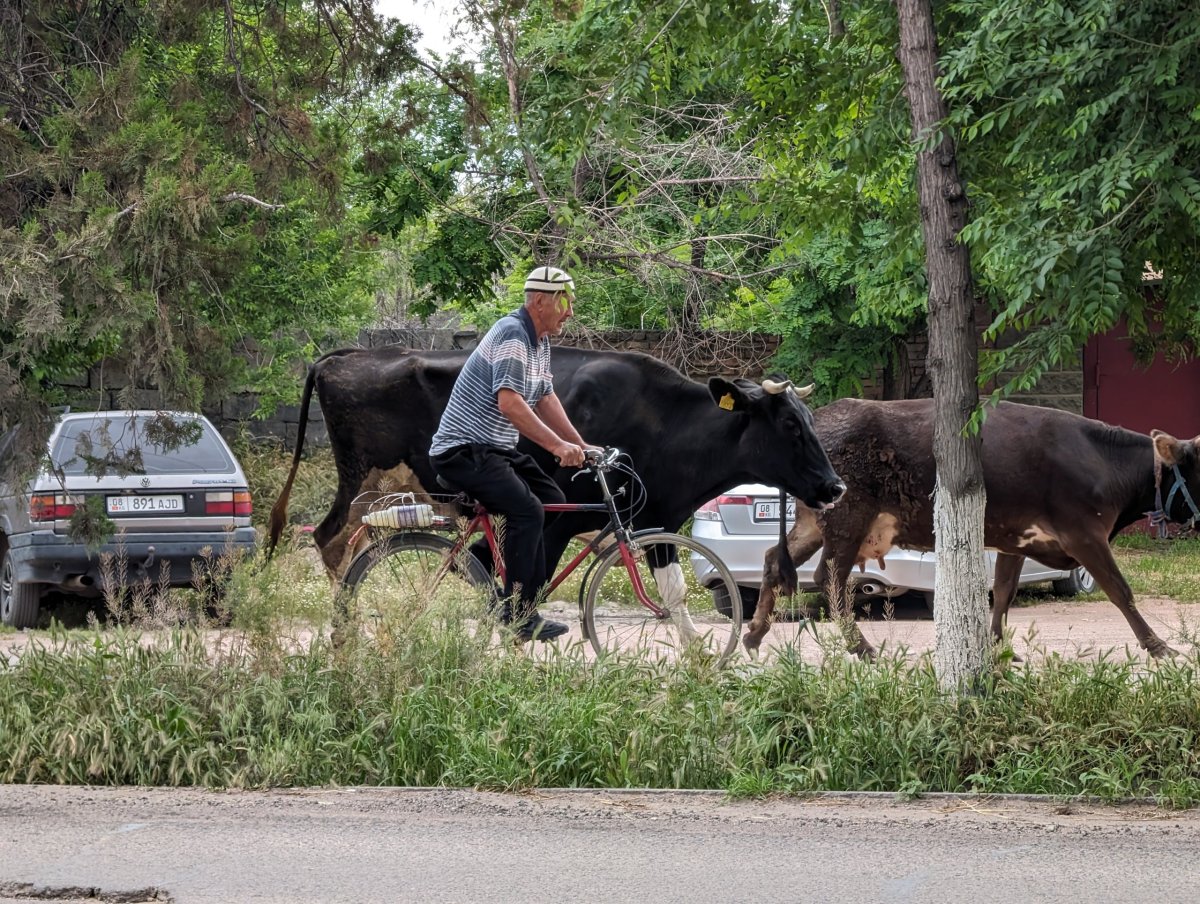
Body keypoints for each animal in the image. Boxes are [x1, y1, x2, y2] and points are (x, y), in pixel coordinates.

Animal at [265, 340, 844, 581]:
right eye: (790, 425)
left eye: (809, 419)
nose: (835, 486)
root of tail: (345, 355)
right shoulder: (562, 518)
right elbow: (529, 581)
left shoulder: (655, 520)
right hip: (361, 478)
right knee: (330, 539)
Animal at [748, 398, 1200, 657]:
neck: (1102, 461)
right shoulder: (1084, 535)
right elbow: (1121, 591)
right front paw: (1158, 647)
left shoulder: (1017, 540)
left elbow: (1002, 592)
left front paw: (999, 647)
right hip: (848, 520)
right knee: (832, 581)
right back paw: (862, 647)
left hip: (813, 525)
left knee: (773, 560)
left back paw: (754, 634)